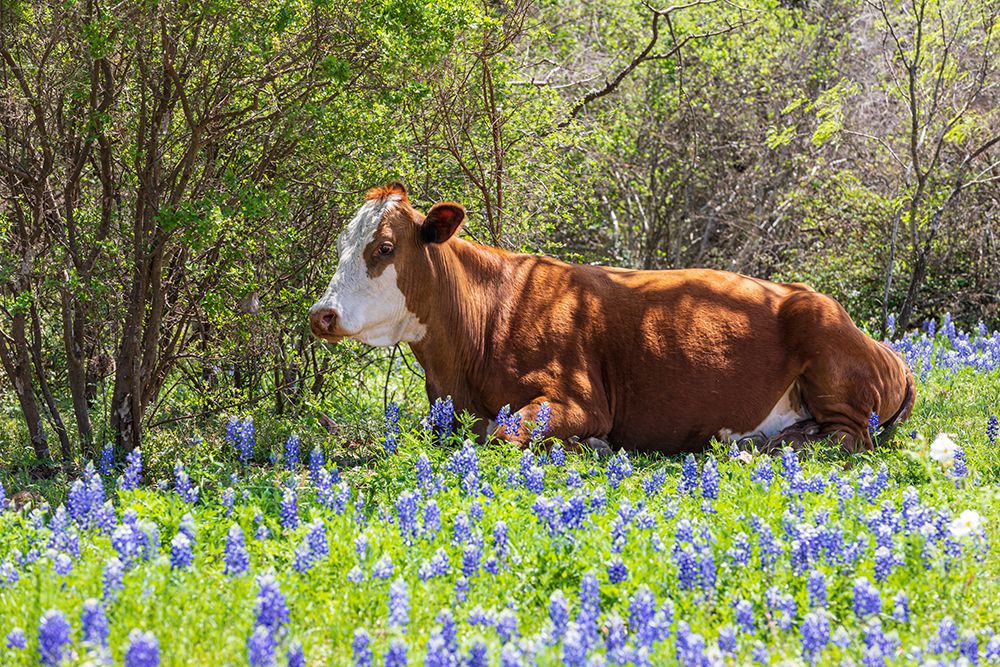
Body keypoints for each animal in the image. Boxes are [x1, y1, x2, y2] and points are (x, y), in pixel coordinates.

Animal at [309, 183, 915, 454]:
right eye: (342, 244)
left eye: (385, 247)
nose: (322, 313)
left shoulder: (580, 399)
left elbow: (500, 429)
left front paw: (593, 446)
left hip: (828, 353)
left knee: (848, 437)